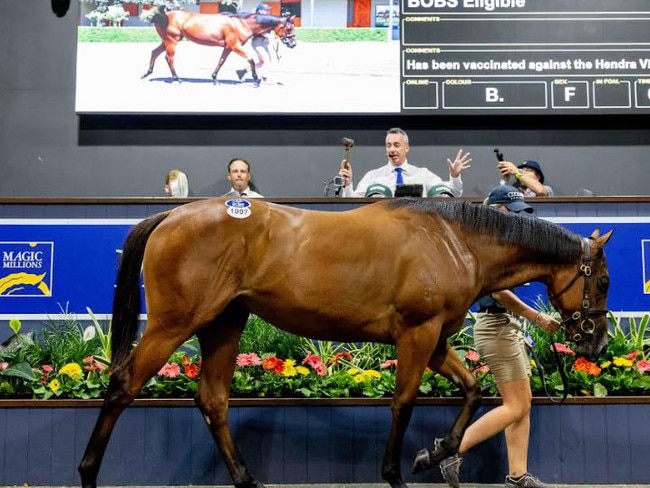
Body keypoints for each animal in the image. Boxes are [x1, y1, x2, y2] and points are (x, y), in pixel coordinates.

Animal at [78, 198, 612, 488]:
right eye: (604, 281)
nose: (595, 344)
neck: (452, 240)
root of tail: (171, 216)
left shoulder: (437, 339)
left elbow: (473, 388)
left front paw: (435, 453)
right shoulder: (417, 334)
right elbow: (403, 402)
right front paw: (395, 471)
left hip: (224, 324)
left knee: (212, 400)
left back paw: (247, 478)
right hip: (175, 323)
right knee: (123, 384)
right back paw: (87, 473)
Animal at [142, 8, 296, 86]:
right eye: (289, 28)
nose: (293, 44)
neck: (241, 23)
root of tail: (163, 16)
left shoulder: (228, 47)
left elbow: (221, 61)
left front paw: (215, 78)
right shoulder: (234, 45)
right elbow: (251, 60)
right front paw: (255, 80)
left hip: (167, 41)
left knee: (154, 52)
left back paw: (147, 73)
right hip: (171, 41)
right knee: (169, 59)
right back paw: (177, 79)